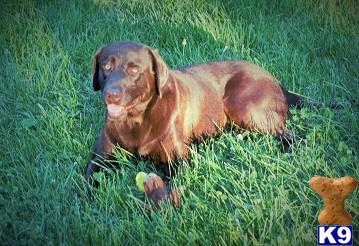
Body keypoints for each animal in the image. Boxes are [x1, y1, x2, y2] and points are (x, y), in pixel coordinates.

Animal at [86, 41, 302, 199]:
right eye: (106, 66)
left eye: (133, 70)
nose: (111, 95)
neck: (135, 120)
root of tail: (277, 81)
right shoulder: (101, 157)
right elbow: (88, 180)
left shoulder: (179, 159)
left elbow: (165, 186)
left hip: (241, 105)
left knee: (292, 134)